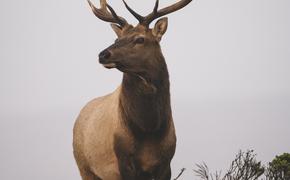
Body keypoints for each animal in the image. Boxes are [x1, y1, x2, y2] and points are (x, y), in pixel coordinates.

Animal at [73, 0, 193, 179]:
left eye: (140, 39)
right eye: (117, 38)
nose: (103, 55)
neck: (149, 128)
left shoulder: (167, 162)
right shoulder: (123, 160)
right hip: (84, 167)